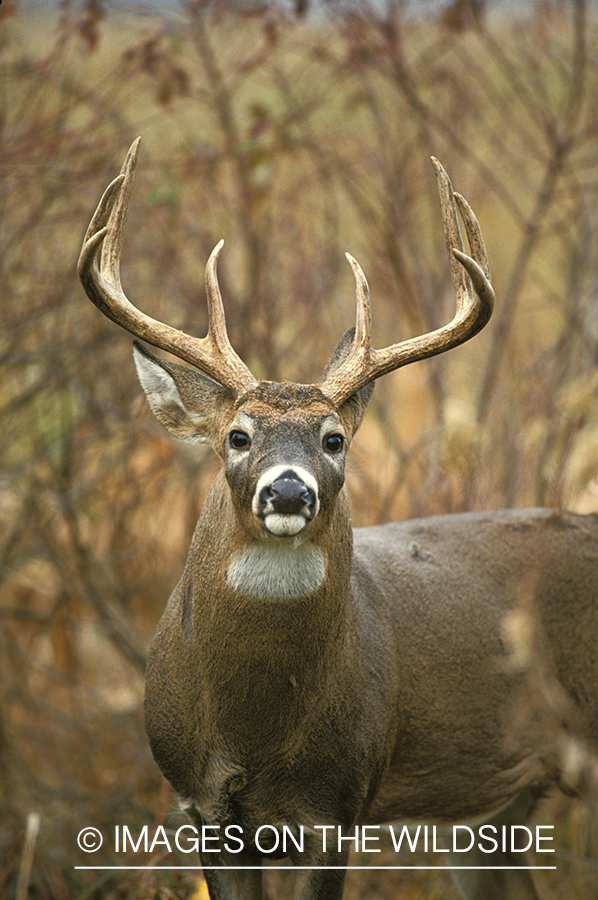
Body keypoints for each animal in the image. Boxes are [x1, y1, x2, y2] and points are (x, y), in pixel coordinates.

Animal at [79, 137, 598, 896]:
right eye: (237, 435)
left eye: (334, 439)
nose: (289, 493)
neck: (253, 725)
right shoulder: (203, 805)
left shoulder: (336, 803)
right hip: (486, 811)